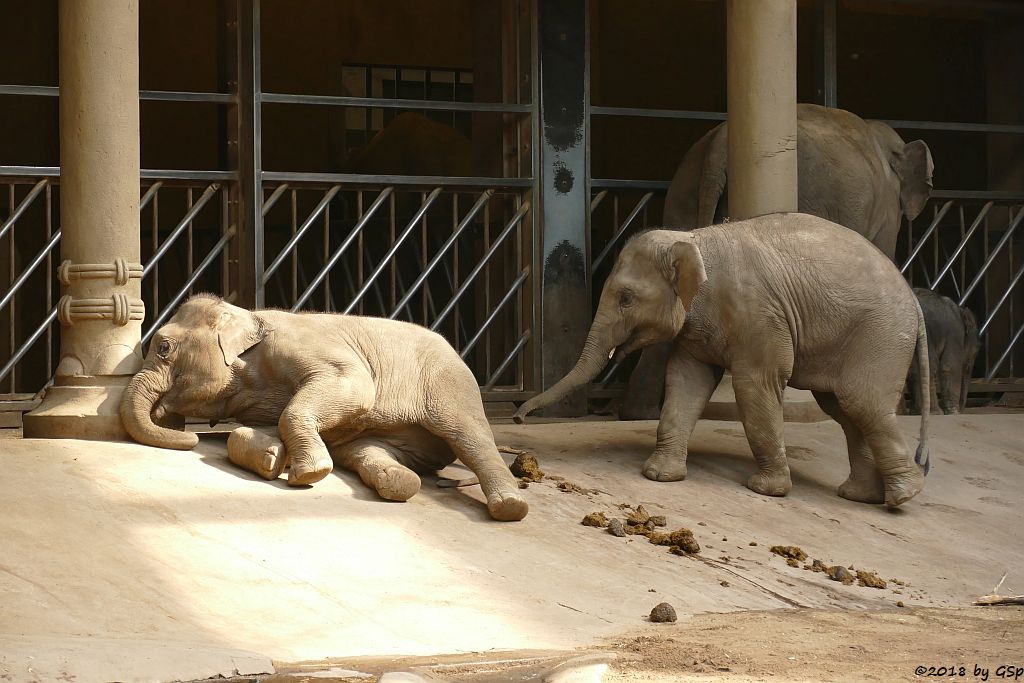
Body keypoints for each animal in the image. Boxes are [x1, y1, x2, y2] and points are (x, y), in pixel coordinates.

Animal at [119, 294, 528, 524]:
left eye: (163, 348)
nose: (187, 437)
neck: (250, 317)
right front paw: (272, 457)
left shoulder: (301, 345)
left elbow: (353, 385)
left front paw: (308, 472)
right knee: (367, 450)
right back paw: (399, 482)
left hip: (450, 387)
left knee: (471, 438)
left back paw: (510, 507)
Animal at [516, 214, 933, 507]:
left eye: (626, 298)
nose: (519, 418)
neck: (692, 238)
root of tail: (914, 300)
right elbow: (686, 382)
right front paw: (658, 476)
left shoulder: (759, 317)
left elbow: (754, 386)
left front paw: (765, 490)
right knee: (843, 409)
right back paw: (860, 496)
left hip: (880, 336)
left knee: (861, 403)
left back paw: (903, 496)